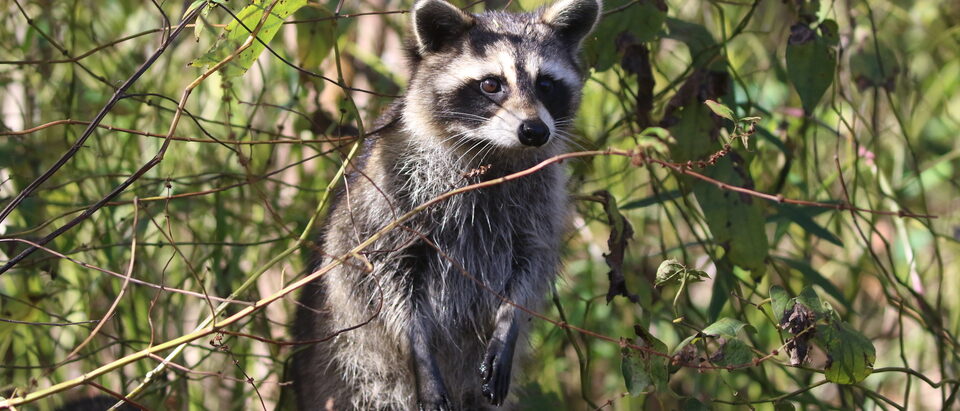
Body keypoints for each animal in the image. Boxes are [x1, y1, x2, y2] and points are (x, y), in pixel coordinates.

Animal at [292, 0, 600, 409]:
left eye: (546, 85)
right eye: (491, 84)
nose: (534, 131)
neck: (494, 152)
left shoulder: (541, 197)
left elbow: (531, 263)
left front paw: (509, 322)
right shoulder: (391, 193)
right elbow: (383, 277)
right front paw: (417, 349)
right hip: (353, 370)